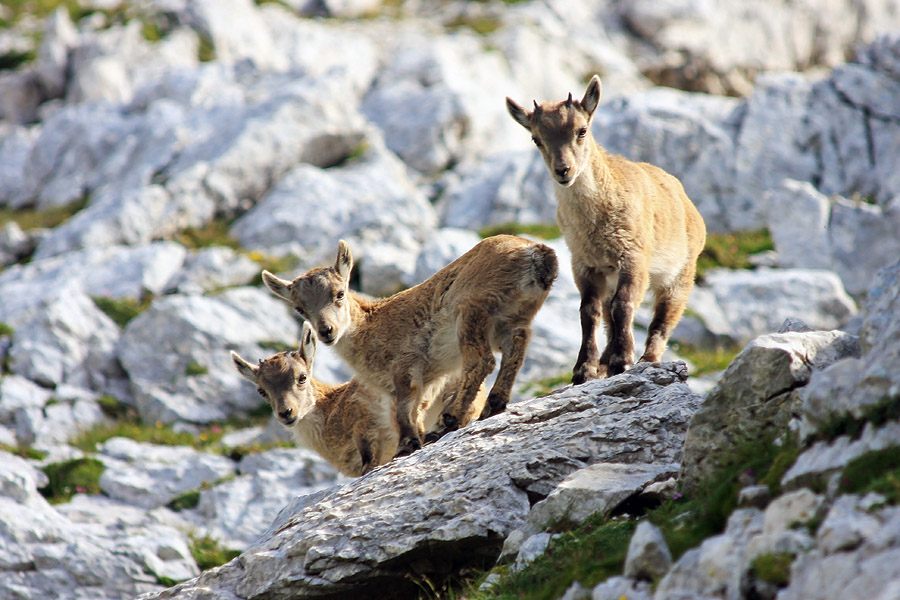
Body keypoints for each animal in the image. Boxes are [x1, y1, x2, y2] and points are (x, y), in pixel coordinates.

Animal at [262, 235, 557, 455]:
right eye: (300, 308)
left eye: (340, 293)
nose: (326, 331)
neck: (370, 327)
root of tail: (536, 253)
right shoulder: (423, 380)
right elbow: (412, 411)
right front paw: (414, 440)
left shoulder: (405, 366)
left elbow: (404, 409)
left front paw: (407, 446)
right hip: (515, 317)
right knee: (516, 350)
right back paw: (493, 405)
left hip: (471, 311)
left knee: (481, 361)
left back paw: (449, 419)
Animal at [506, 75, 706, 383]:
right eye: (536, 139)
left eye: (582, 130)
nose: (563, 170)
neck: (596, 221)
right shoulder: (584, 263)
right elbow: (589, 311)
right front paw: (583, 369)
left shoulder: (633, 256)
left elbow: (623, 305)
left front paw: (623, 361)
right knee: (610, 316)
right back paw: (604, 363)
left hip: (680, 274)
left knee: (661, 320)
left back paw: (646, 359)